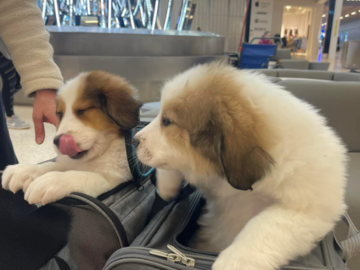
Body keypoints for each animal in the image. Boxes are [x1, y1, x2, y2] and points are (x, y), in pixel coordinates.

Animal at [2, 70, 141, 204]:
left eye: (82, 110)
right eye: (59, 114)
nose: (57, 141)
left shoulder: (113, 179)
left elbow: (87, 176)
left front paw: (52, 180)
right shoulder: (66, 163)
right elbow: (51, 165)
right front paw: (25, 170)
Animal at [134, 62, 348, 268]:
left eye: (167, 121)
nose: (135, 139)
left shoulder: (307, 211)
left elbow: (264, 224)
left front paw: (234, 261)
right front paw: (166, 186)